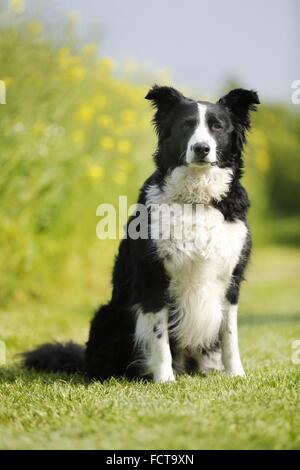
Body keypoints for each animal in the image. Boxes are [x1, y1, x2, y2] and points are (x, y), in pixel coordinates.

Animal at [23, 86, 258, 384]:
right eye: (186, 125)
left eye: (217, 127)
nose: (201, 148)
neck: (196, 199)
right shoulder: (152, 277)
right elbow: (159, 338)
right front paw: (165, 379)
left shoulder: (231, 278)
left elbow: (230, 335)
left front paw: (236, 374)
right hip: (106, 316)